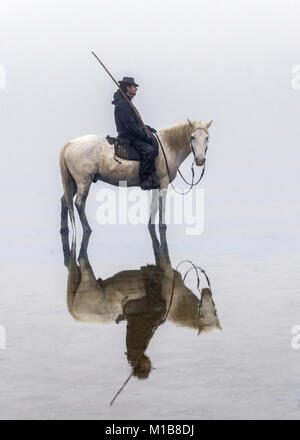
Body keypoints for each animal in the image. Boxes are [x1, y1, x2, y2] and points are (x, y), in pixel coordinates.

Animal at [59, 117, 211, 234]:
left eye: (207, 138)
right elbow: (162, 206)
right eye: (192, 137)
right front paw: (162, 226)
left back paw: (64, 229)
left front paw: (151, 226)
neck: (168, 145)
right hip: (83, 181)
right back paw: (87, 229)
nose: (200, 160)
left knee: (64, 201)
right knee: (79, 204)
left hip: (72, 182)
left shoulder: (156, 186)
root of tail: (70, 144)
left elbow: (154, 207)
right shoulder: (163, 183)